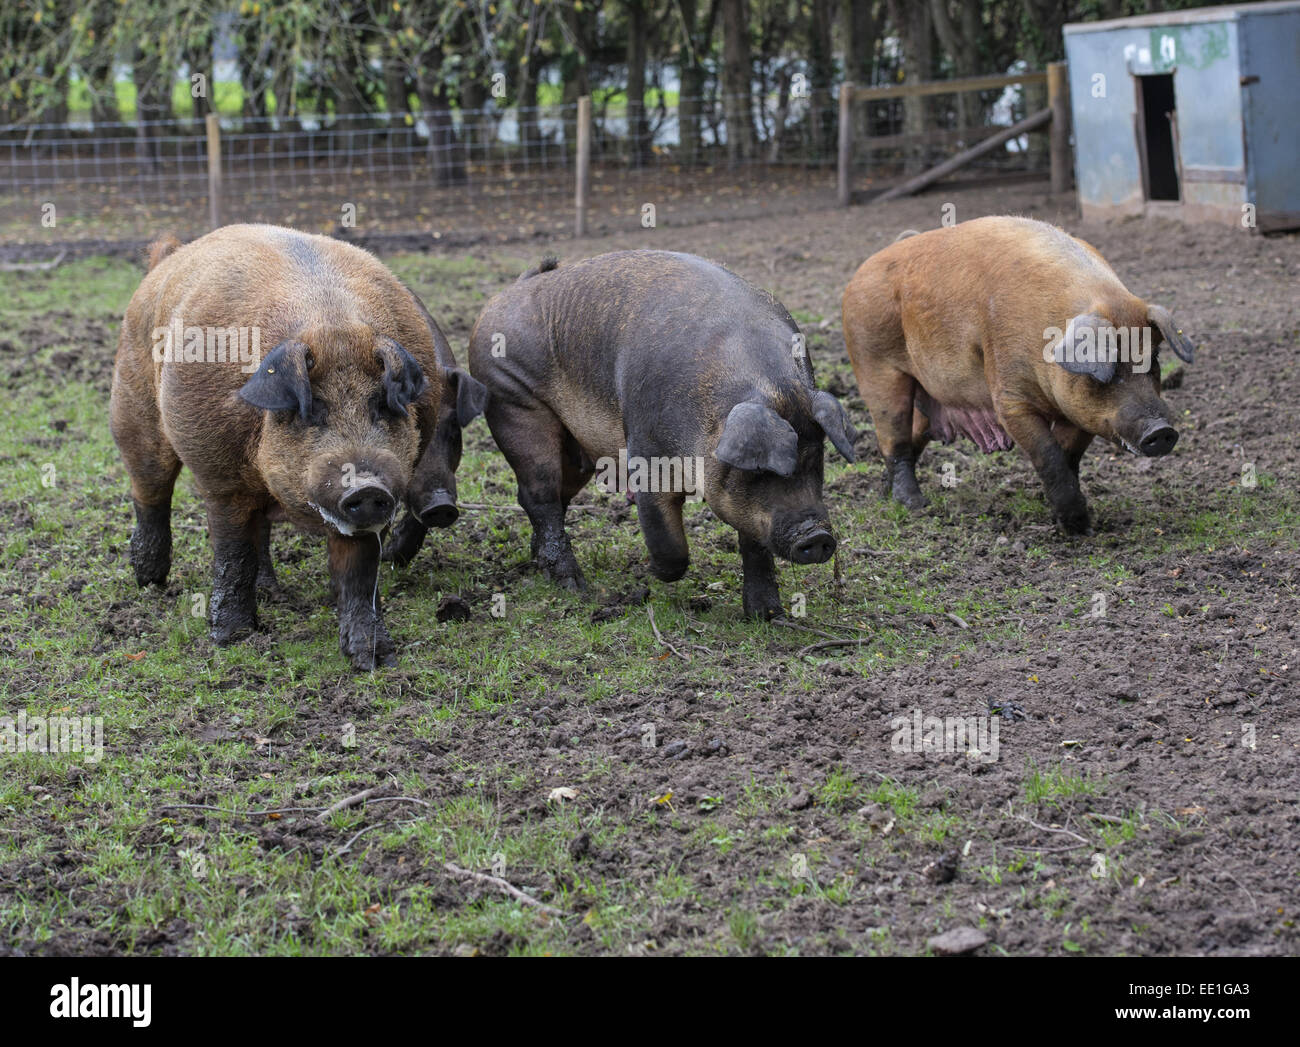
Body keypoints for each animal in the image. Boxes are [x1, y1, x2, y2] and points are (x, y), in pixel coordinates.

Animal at [111, 226, 447, 671]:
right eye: (313, 410)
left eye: (381, 405)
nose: (366, 486)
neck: (332, 326)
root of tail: (166, 261)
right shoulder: (221, 478)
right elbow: (232, 554)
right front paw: (232, 639)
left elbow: (360, 573)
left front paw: (375, 661)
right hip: (132, 410)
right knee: (150, 493)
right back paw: (149, 581)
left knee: (260, 530)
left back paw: (271, 593)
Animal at [842, 215, 1196, 535]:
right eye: (1108, 369)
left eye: (1152, 361)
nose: (1162, 430)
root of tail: (859, 274)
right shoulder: (1010, 398)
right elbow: (1049, 454)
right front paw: (1079, 529)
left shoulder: (1081, 413)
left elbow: (1068, 456)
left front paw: (1067, 518)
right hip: (875, 367)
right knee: (895, 441)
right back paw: (914, 505)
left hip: (926, 398)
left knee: (907, 441)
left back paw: (885, 496)